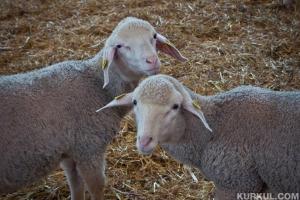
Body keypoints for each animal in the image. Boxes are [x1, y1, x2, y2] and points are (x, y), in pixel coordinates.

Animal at [0, 17, 188, 200]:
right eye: (120, 46)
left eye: (154, 36)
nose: (152, 60)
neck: (97, 85)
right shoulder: (89, 149)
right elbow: (97, 187)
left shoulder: (70, 153)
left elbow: (76, 187)